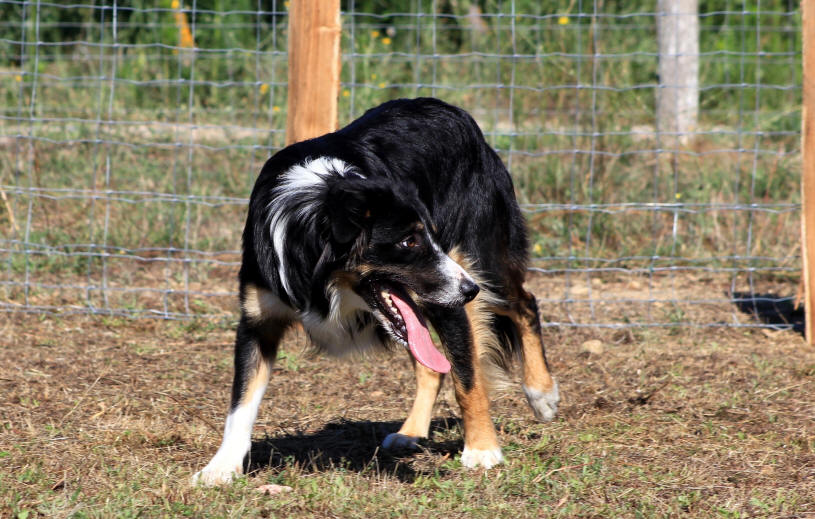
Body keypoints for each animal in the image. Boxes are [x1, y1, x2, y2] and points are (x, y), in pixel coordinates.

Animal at [194, 98, 556, 488]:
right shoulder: (258, 318)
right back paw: (411, 432)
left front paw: (482, 449)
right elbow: (241, 400)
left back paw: (542, 393)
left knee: (524, 304)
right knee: (431, 364)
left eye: (431, 236)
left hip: (481, 260)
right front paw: (222, 466)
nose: (470, 291)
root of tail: (451, 109)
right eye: (408, 241)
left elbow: (467, 376)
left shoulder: (451, 301)